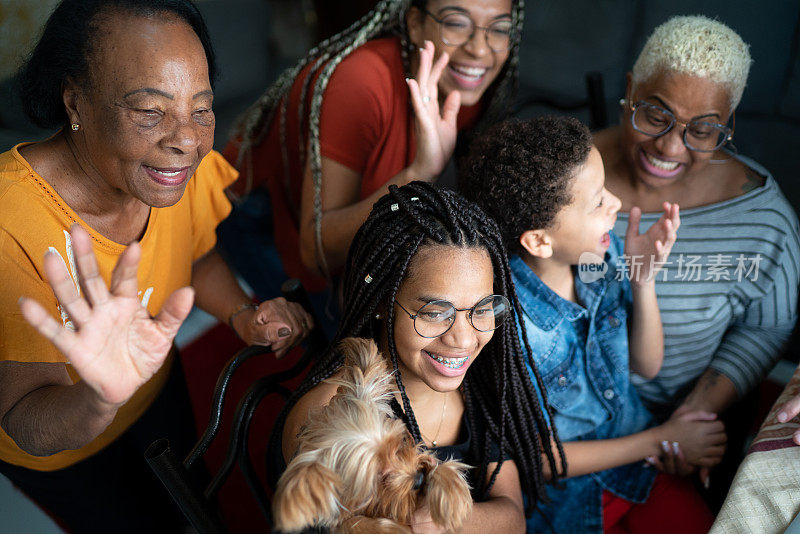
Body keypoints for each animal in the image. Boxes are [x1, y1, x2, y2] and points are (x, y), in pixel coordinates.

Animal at [276, 340, 476, 534]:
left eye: (398, 446)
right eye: (378, 478)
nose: (419, 477)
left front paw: (451, 494)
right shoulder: (342, 521)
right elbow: (358, 524)